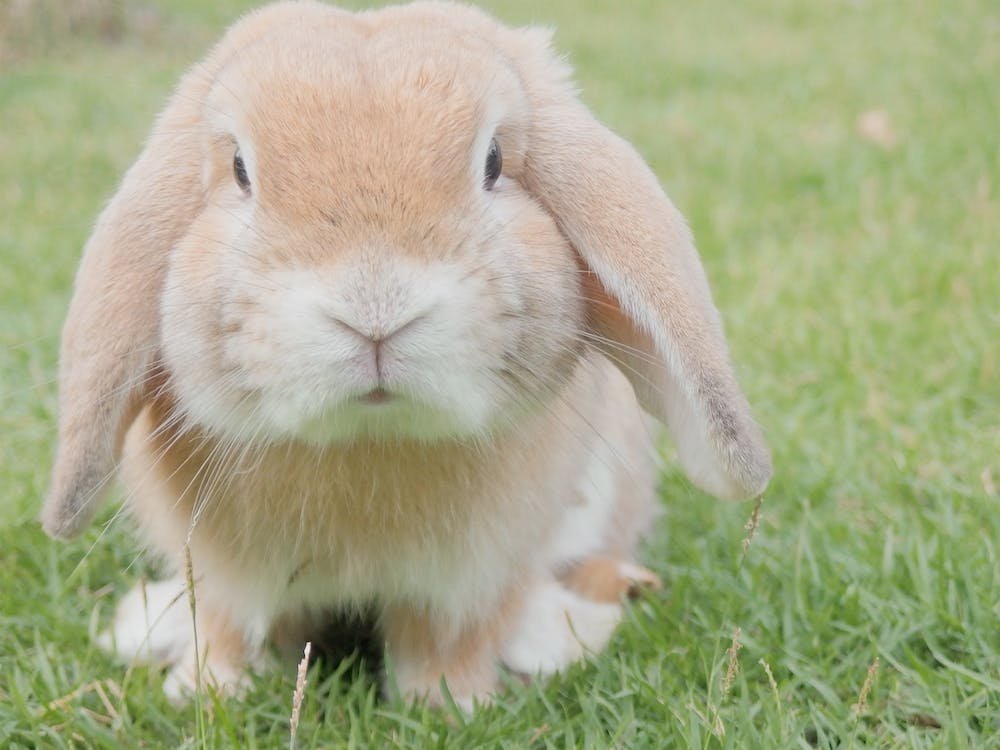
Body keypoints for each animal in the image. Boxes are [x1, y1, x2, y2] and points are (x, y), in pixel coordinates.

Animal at [41, 0, 771, 708]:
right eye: (242, 171)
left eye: (494, 161)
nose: (375, 309)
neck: (368, 439)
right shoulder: (222, 575)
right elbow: (228, 627)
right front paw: (206, 691)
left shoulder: (470, 580)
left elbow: (445, 639)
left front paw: (449, 704)